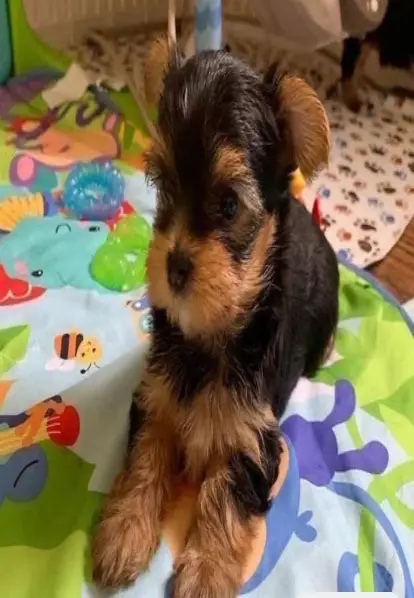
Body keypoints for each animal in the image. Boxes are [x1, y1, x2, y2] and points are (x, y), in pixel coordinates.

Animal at [92, 38, 339, 598]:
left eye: (228, 206)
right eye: (162, 188)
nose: (175, 264)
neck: (212, 333)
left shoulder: (253, 436)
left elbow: (227, 491)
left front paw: (205, 572)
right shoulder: (157, 395)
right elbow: (146, 456)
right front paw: (124, 531)